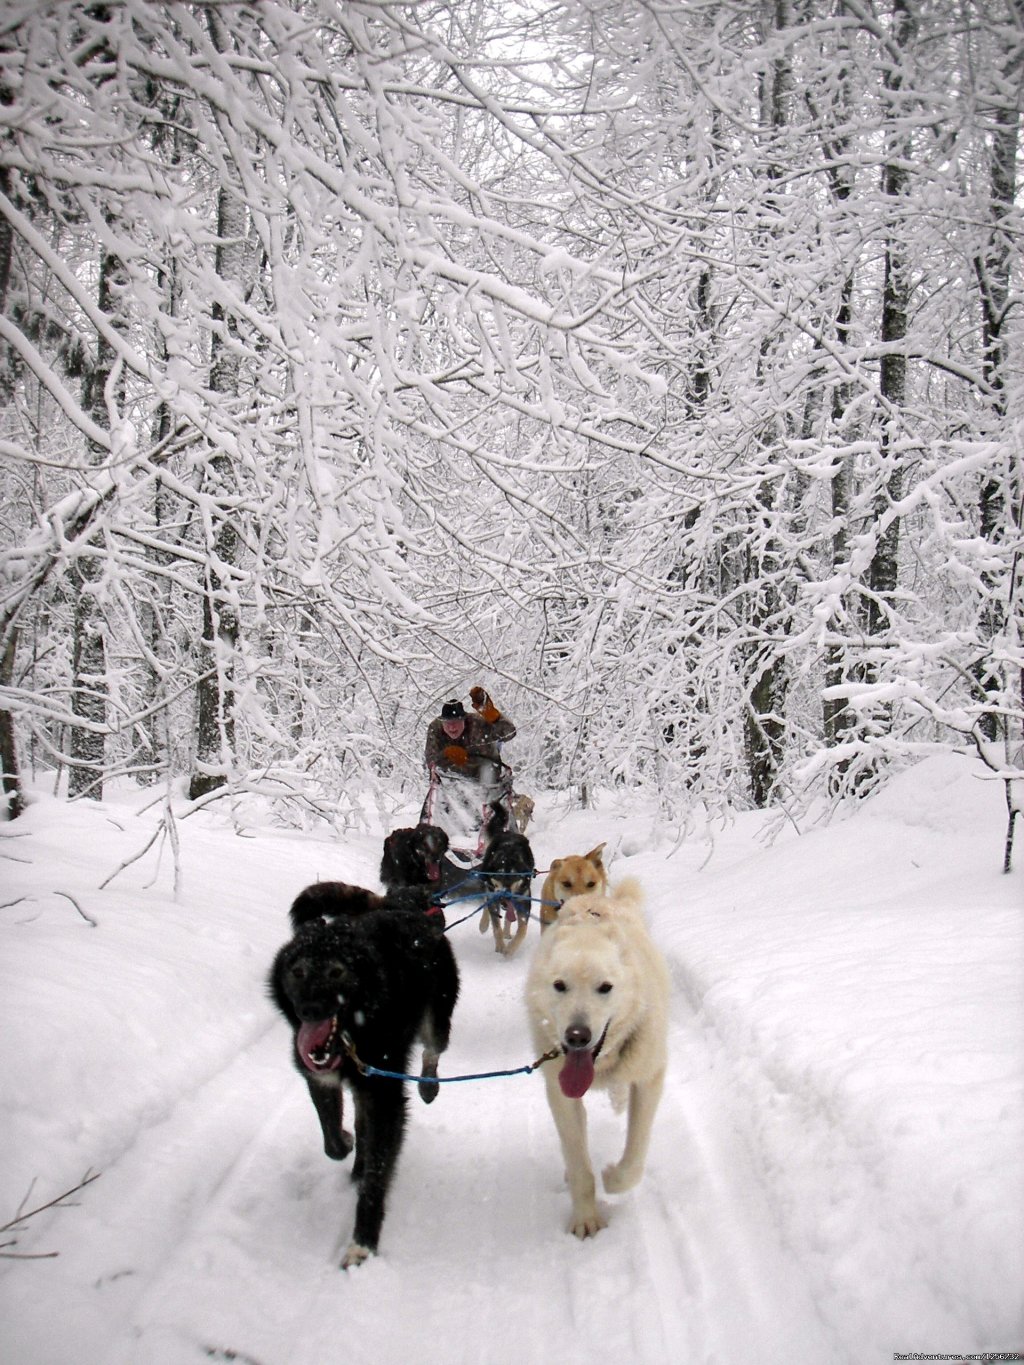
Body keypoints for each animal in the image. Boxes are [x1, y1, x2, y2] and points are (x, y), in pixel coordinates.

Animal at [266, 879, 458, 1261]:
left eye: (337, 971)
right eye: (298, 972)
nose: (310, 1010)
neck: (352, 1034)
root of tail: (401, 906)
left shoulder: (385, 1097)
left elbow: (376, 1175)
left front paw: (363, 1242)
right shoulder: (321, 1079)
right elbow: (333, 1143)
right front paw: (348, 1145)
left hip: (436, 1020)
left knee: (432, 1049)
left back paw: (428, 1085)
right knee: (358, 1117)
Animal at [480, 824, 537, 955]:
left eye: (514, 877)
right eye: (499, 877)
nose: (505, 897)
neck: (507, 855)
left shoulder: (523, 900)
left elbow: (522, 929)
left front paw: (510, 949)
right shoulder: (493, 896)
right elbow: (496, 927)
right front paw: (500, 946)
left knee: (508, 917)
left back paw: (506, 932)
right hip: (488, 885)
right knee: (486, 899)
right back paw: (483, 924)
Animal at [524, 873, 669, 1239]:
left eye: (605, 987)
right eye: (559, 985)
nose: (577, 1036)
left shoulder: (649, 1080)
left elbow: (635, 1156)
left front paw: (614, 1178)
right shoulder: (560, 1094)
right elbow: (579, 1164)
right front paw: (586, 1216)